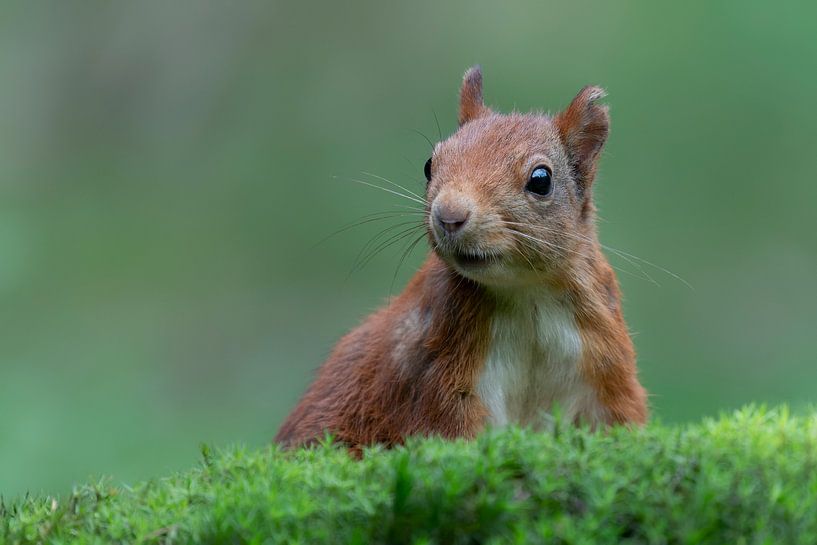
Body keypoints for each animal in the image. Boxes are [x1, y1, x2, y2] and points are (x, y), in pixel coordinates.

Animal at [275, 66, 648, 450]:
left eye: (541, 180)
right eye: (429, 164)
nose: (449, 215)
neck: (527, 296)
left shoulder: (605, 364)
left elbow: (620, 414)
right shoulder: (439, 371)